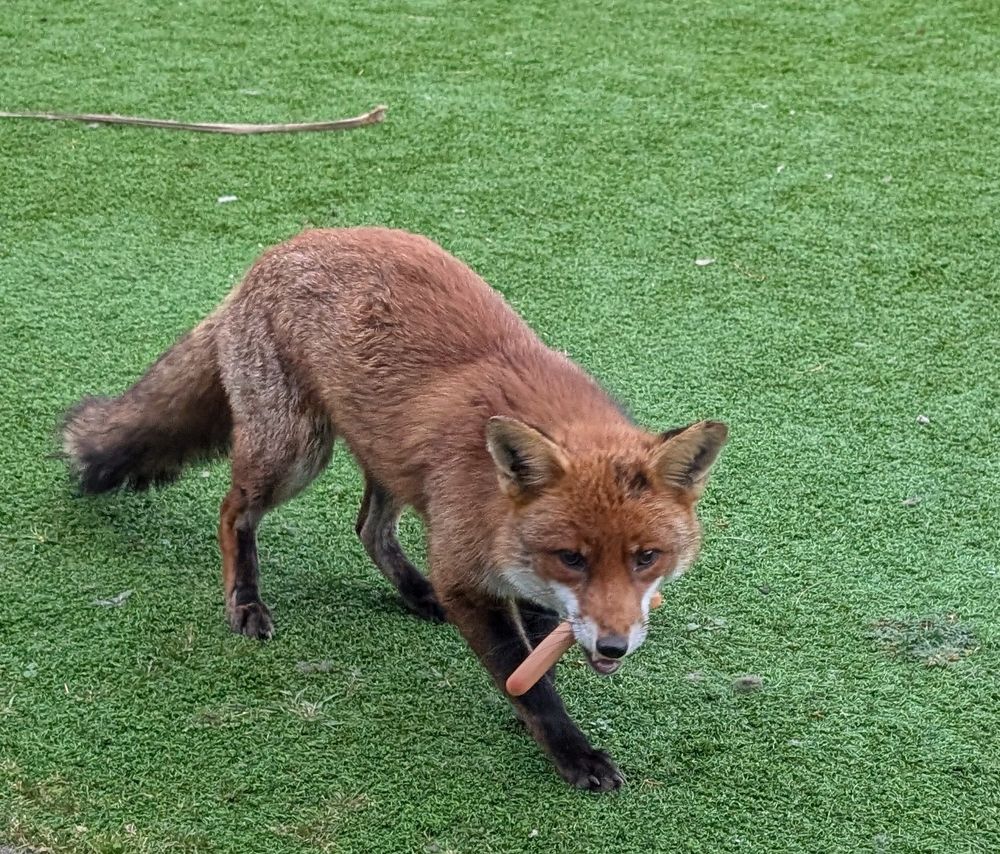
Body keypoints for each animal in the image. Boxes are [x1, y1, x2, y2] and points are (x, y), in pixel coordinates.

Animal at [61, 227, 727, 790]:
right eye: (573, 558)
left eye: (646, 558)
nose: (614, 647)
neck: (494, 503)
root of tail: (279, 248)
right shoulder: (467, 578)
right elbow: (527, 678)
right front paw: (568, 749)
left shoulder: (531, 588)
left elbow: (539, 660)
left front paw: (534, 714)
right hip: (296, 454)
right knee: (233, 511)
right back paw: (246, 601)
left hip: (387, 459)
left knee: (368, 528)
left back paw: (414, 592)